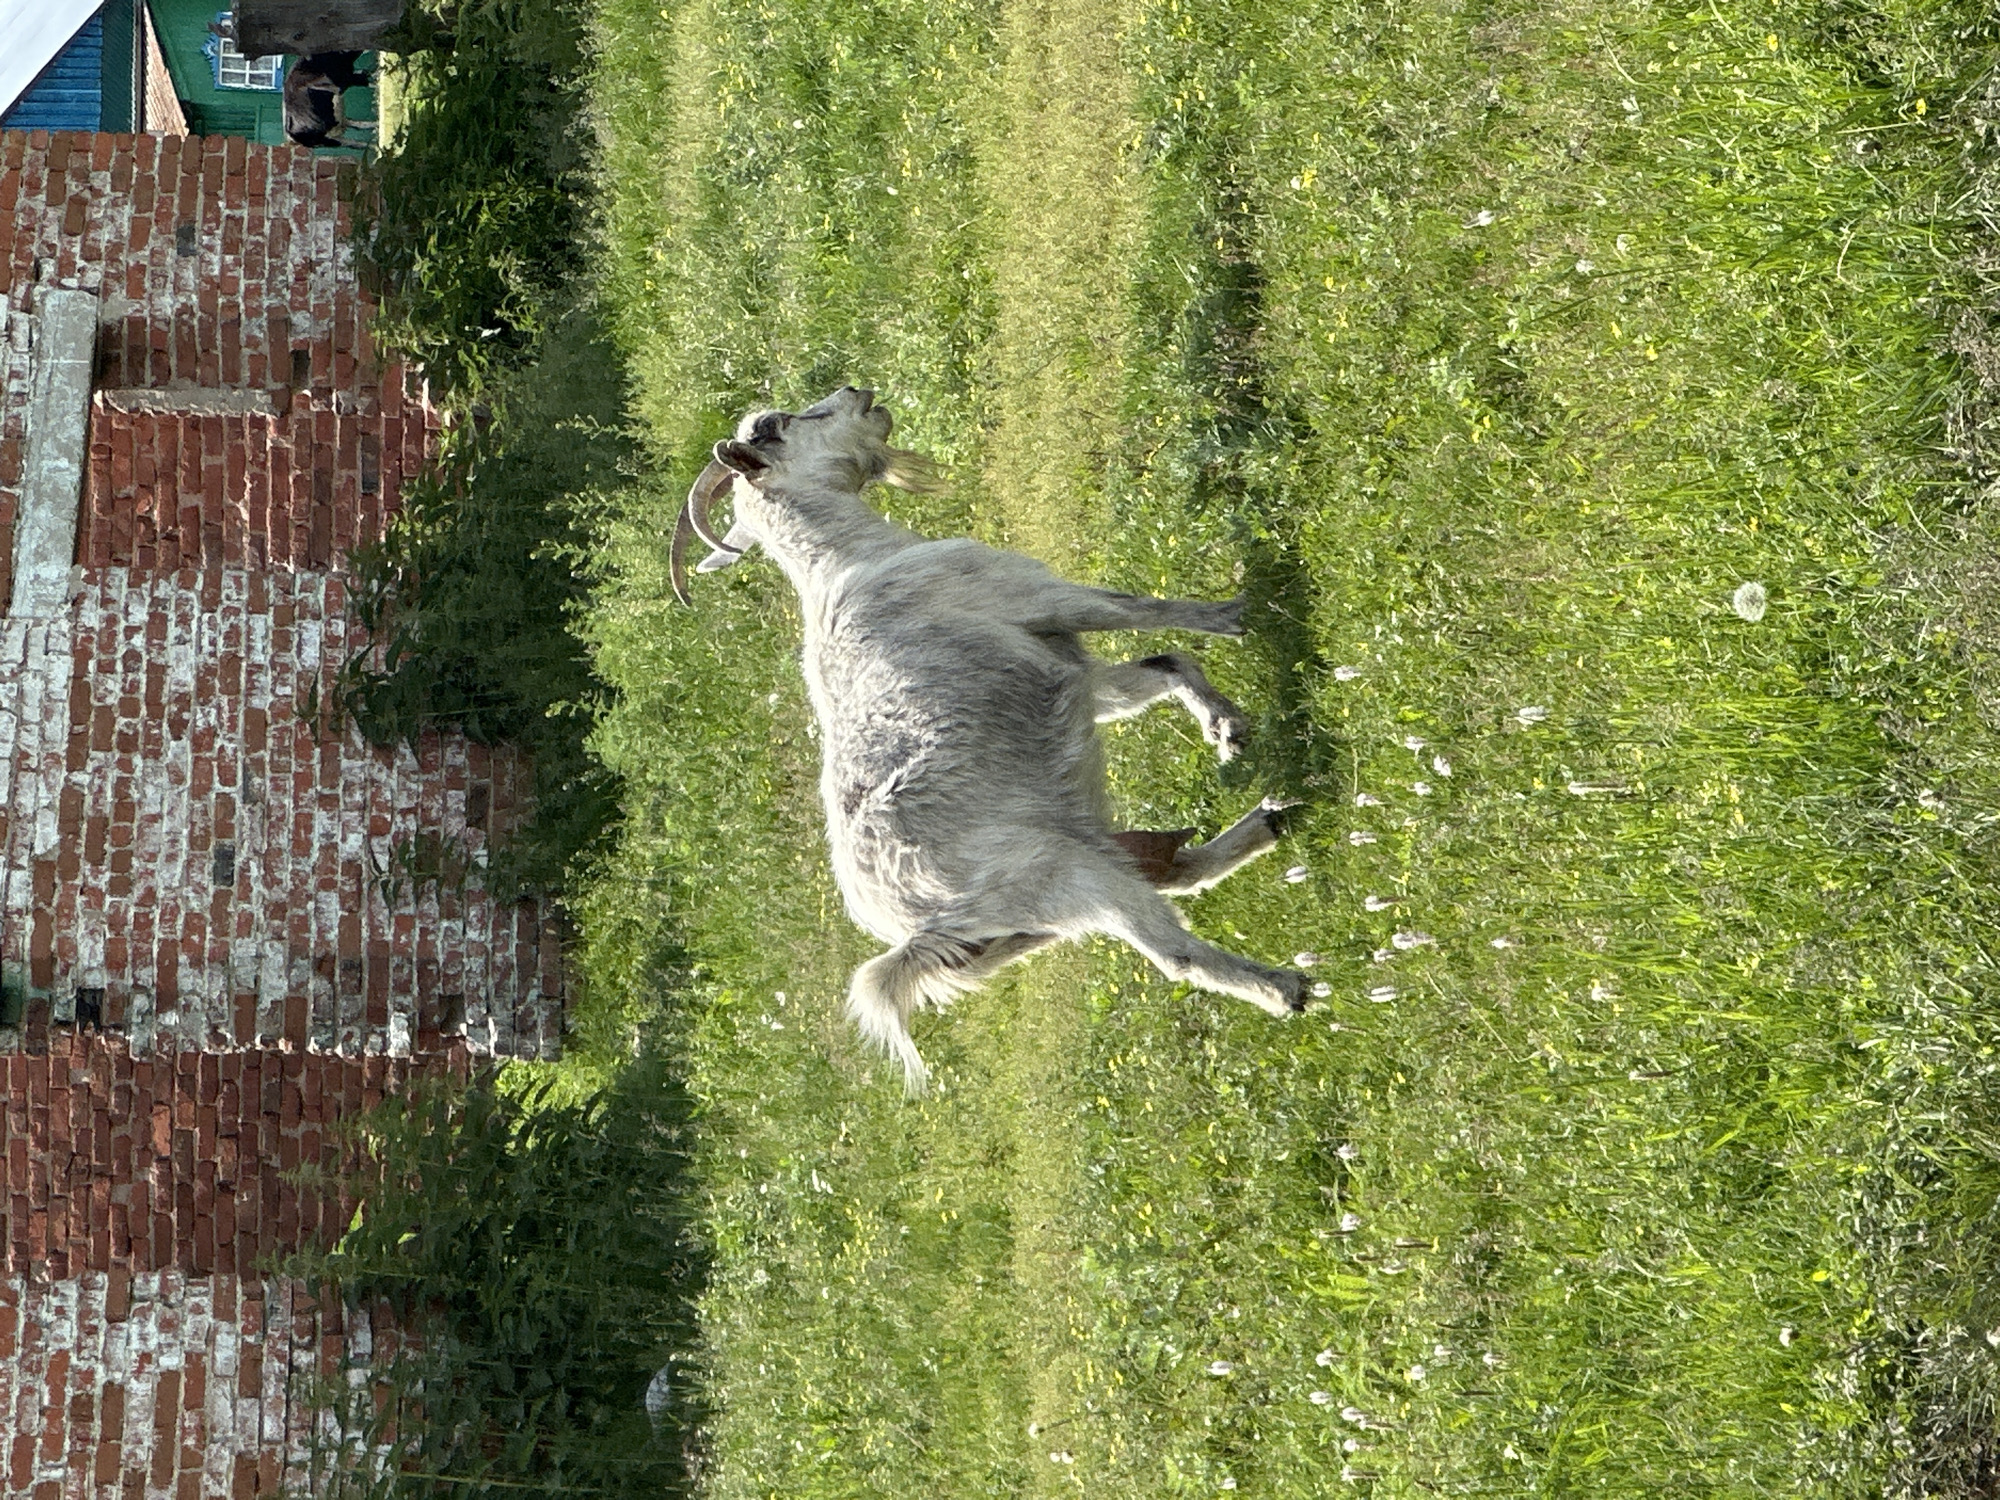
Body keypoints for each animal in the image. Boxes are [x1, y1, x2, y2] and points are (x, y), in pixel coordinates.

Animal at [673, 386, 1310, 1092]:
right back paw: (1286, 986)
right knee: (1172, 947)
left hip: (1056, 877)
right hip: (1062, 875)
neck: (850, 559)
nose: (858, 395)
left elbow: (1163, 665)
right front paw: (1239, 612)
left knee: (1171, 871)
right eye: (776, 425)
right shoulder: (1037, 597)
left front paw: (1225, 727)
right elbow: (1140, 610)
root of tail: (917, 930)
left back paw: (1268, 823)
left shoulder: (1073, 671)